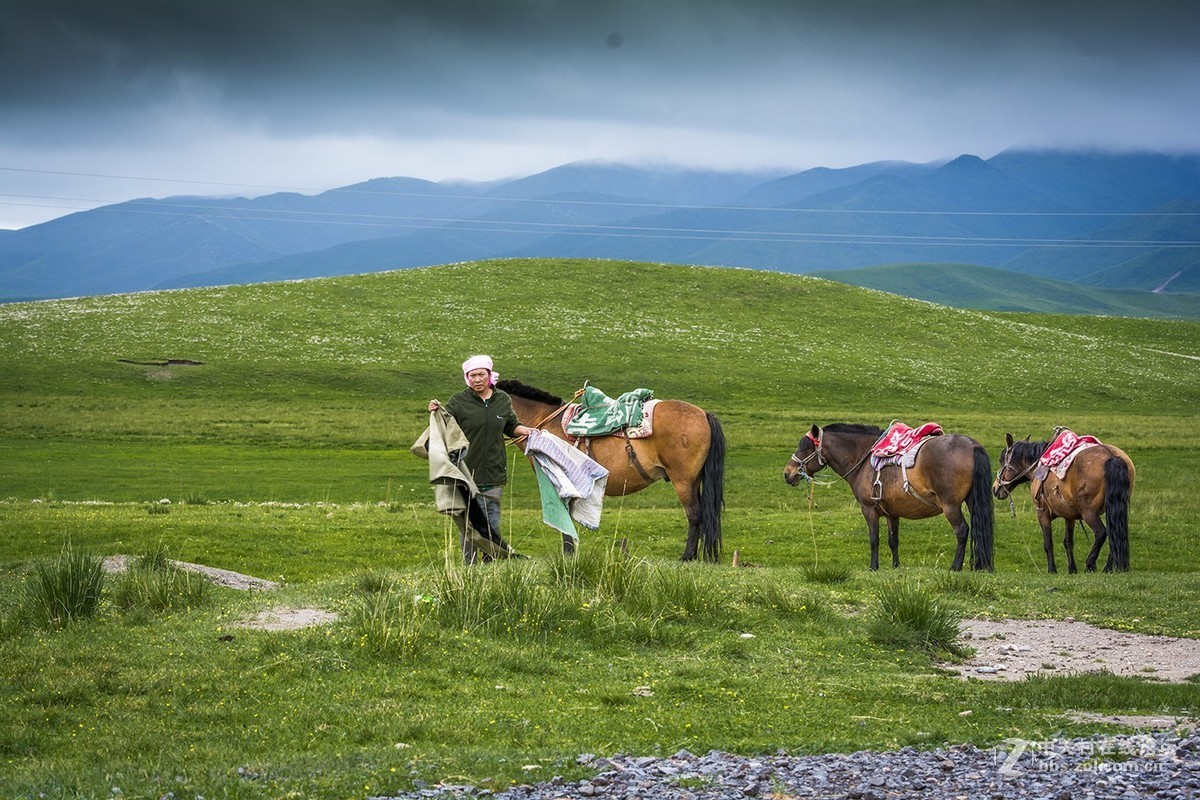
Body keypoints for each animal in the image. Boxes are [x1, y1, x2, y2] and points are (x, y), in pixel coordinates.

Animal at [494, 381, 724, 563]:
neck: (543, 421)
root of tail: (704, 414)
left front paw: (568, 554)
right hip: (694, 481)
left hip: (683, 481)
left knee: (694, 513)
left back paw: (687, 555)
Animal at [777, 422, 993, 573]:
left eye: (805, 447)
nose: (788, 473)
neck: (863, 458)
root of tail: (972, 445)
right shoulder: (892, 513)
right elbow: (893, 540)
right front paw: (896, 566)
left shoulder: (869, 509)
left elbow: (874, 539)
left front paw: (873, 567)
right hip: (972, 501)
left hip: (951, 506)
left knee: (962, 530)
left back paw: (955, 567)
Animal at [988, 434, 1128, 573]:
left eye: (1001, 461)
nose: (995, 488)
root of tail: (1112, 456)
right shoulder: (1069, 516)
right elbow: (1068, 542)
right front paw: (1072, 569)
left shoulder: (1042, 512)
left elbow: (1048, 543)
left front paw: (1052, 569)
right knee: (1116, 533)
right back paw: (1107, 568)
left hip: (1089, 513)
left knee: (1102, 533)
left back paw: (1091, 564)